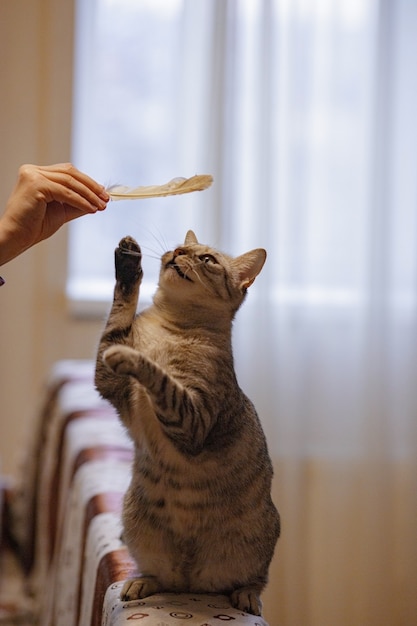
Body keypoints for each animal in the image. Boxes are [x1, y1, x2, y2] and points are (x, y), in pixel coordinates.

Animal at [94, 229, 280, 616]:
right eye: (181, 248)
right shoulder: (108, 382)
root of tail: (192, 583)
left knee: (255, 580)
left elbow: (157, 373)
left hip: (259, 543)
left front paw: (137, 356)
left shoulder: (193, 417)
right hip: (138, 529)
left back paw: (246, 596)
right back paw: (140, 582)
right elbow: (119, 315)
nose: (178, 252)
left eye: (207, 259)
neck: (170, 328)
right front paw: (128, 262)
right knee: (161, 576)